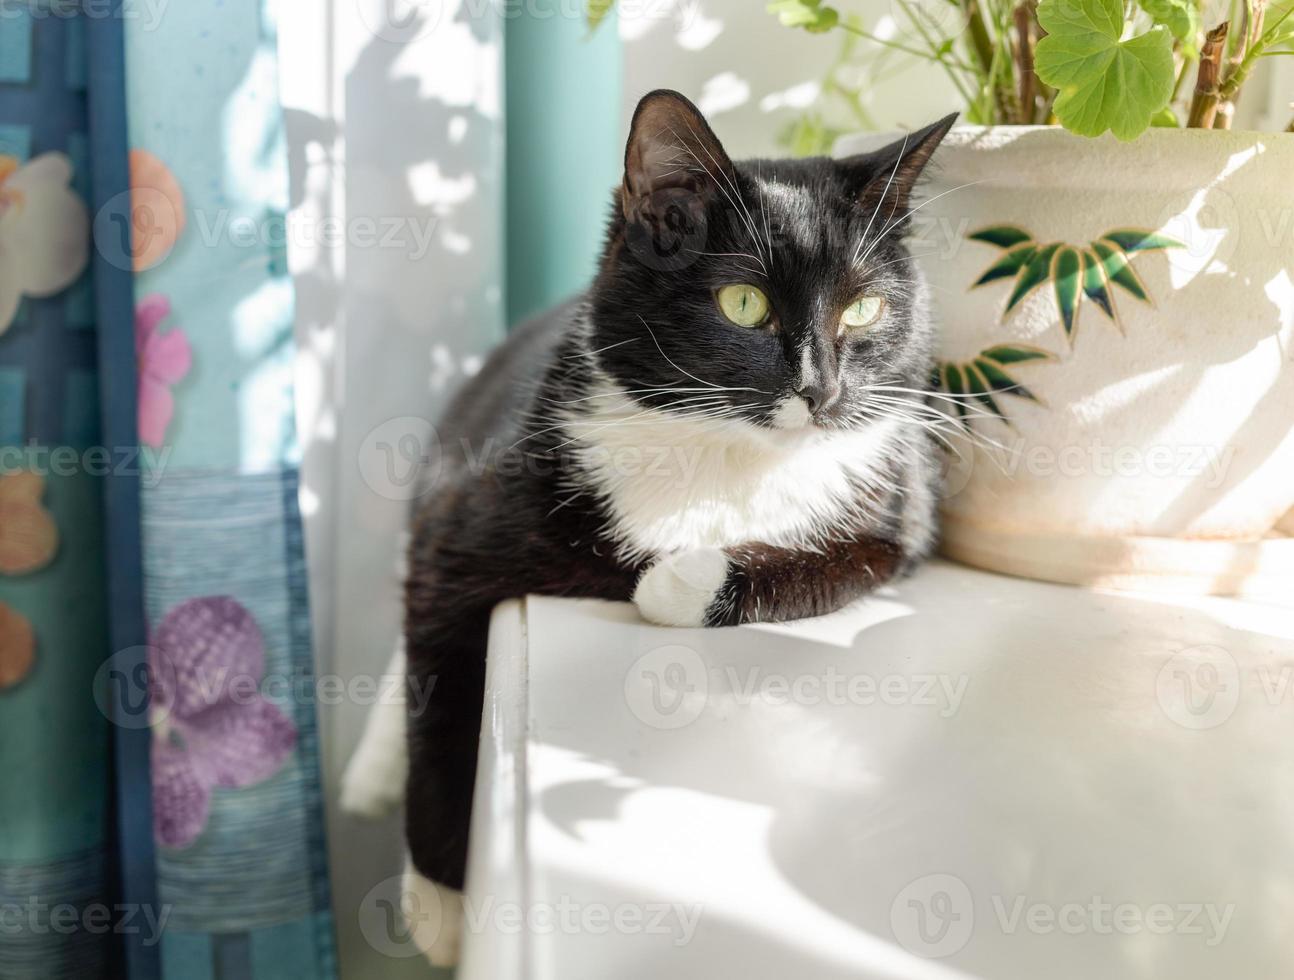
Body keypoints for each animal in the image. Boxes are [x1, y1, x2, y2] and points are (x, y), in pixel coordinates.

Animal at [344, 88, 962, 957]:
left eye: (866, 308)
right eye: (744, 304)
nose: (821, 390)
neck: (730, 455)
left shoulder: (901, 511)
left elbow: (846, 562)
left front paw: (684, 580)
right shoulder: (463, 516)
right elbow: (442, 684)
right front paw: (440, 900)